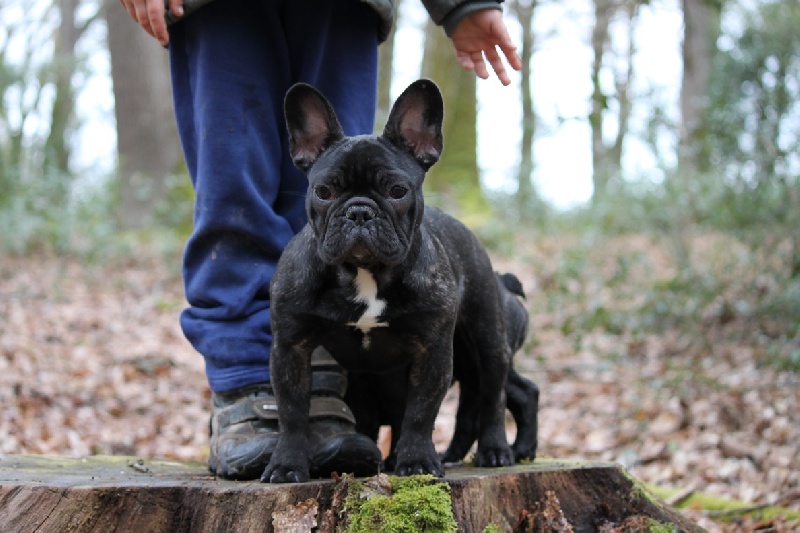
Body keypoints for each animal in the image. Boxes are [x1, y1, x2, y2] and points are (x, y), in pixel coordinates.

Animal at [262, 79, 536, 482]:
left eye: (397, 191)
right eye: (324, 192)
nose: (359, 211)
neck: (365, 273)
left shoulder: (432, 351)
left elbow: (421, 412)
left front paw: (418, 462)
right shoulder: (290, 348)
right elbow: (292, 412)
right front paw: (286, 465)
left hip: (489, 341)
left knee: (493, 396)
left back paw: (497, 450)